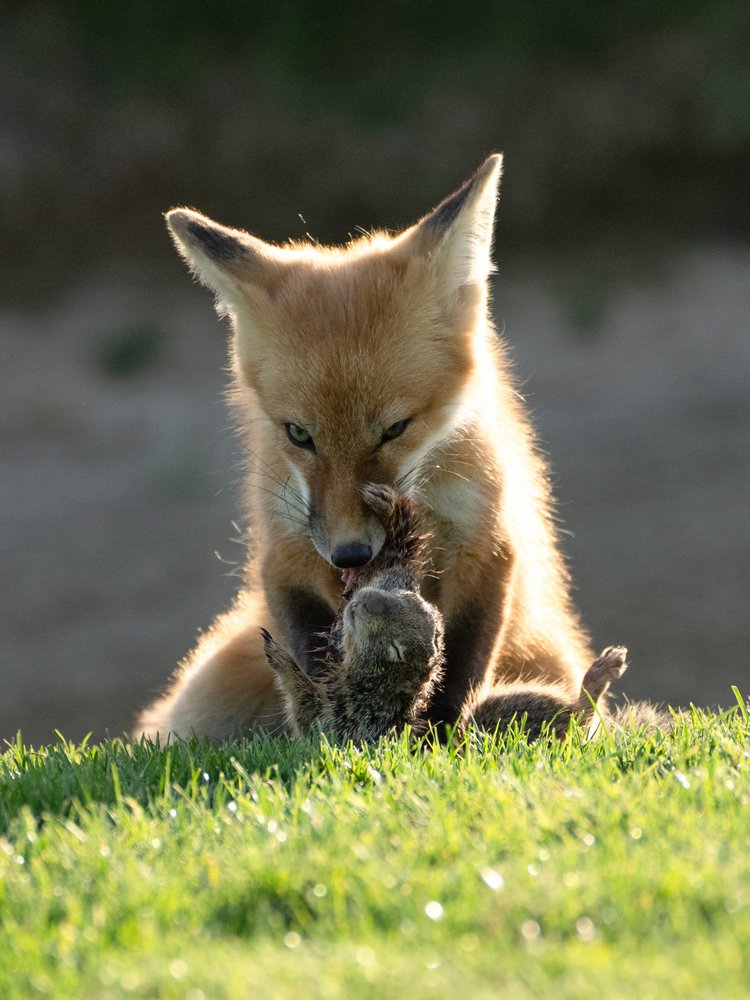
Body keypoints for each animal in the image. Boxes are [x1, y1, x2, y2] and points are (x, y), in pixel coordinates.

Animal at [135, 154, 595, 741]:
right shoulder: (286, 552)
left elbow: (460, 670)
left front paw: (436, 730)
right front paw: (333, 712)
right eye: (298, 434)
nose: (351, 553)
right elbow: (311, 649)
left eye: (396, 428)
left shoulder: (487, 544)